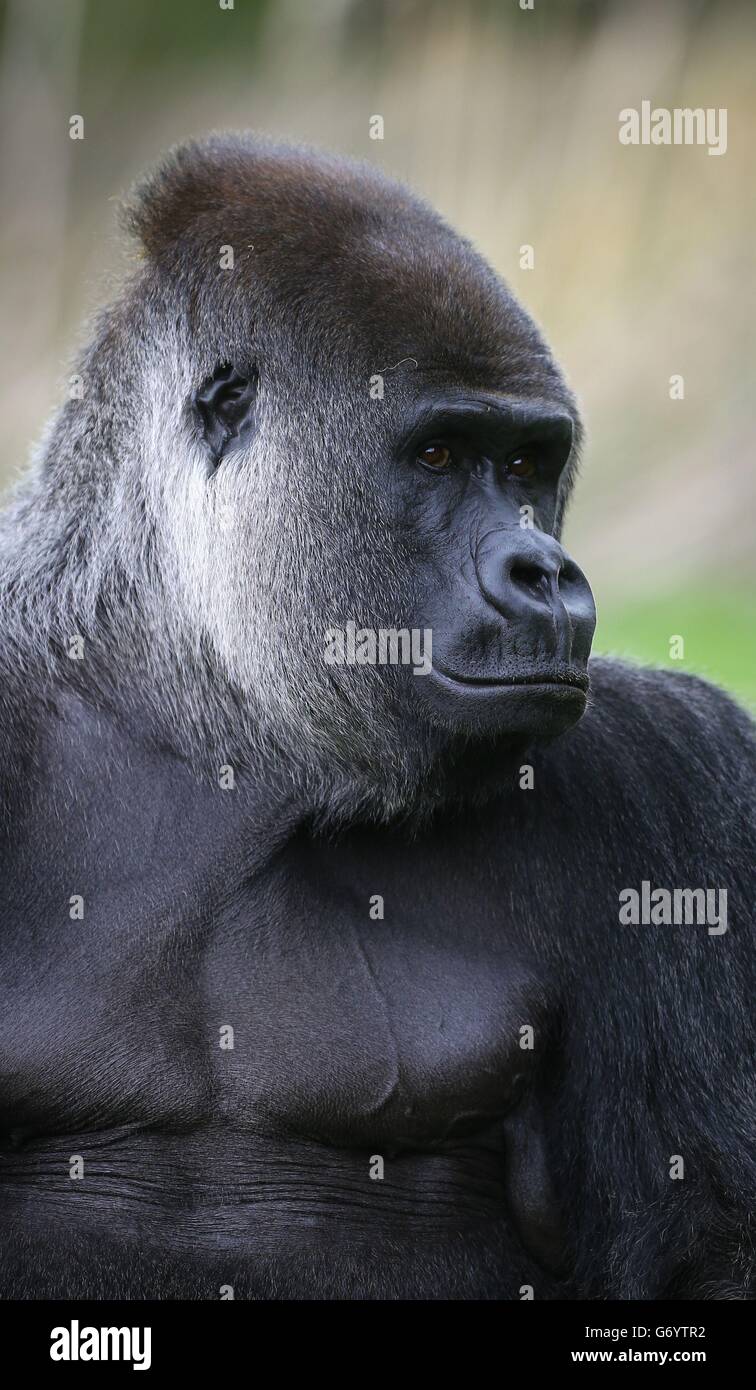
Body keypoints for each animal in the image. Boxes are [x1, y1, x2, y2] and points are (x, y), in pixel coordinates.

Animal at [0, 134, 753, 1299]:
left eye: (529, 465)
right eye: (439, 454)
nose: (546, 573)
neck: (214, 718)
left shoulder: (674, 777)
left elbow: (709, 1254)